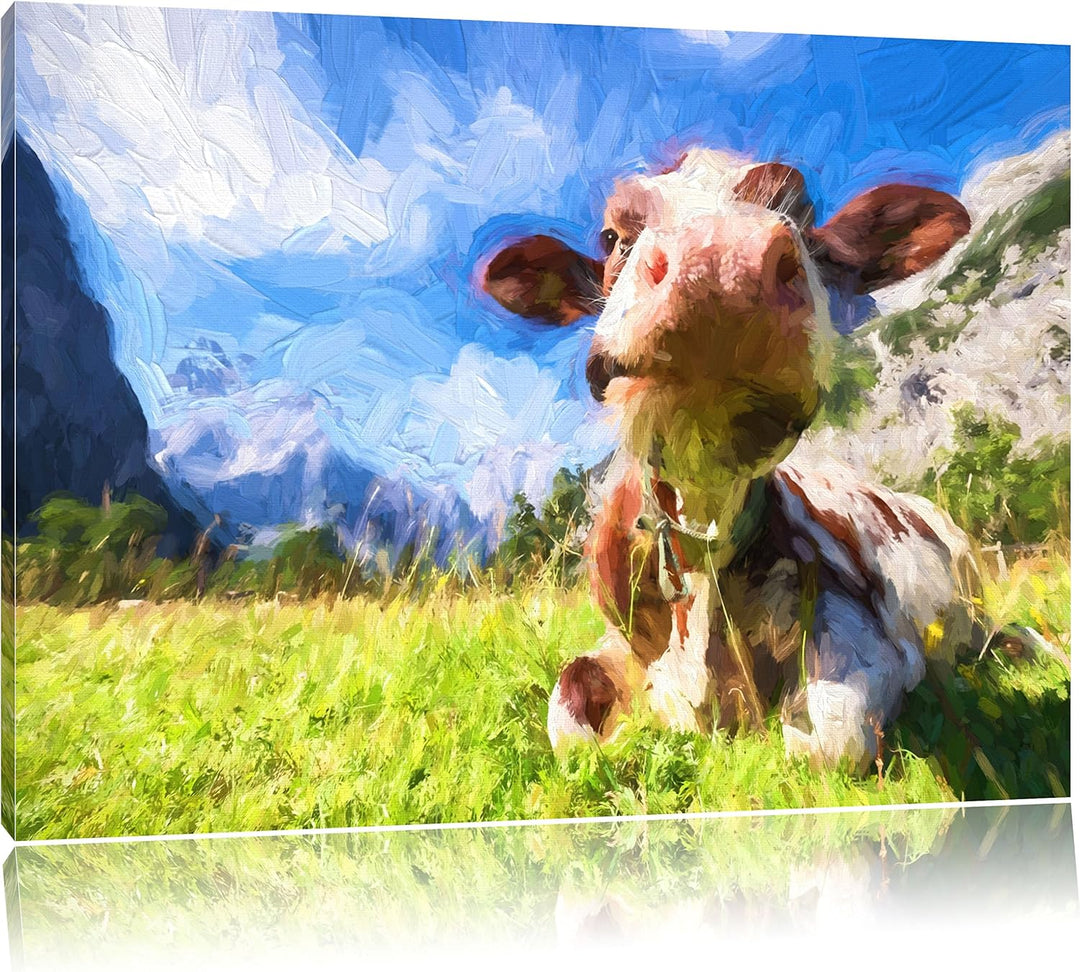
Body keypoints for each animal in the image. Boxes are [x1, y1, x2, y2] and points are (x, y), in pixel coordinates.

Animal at [480, 147, 980, 772]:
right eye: (612, 236)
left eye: (798, 211)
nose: (720, 260)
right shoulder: (616, 645)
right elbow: (569, 719)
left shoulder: (875, 635)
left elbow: (828, 740)